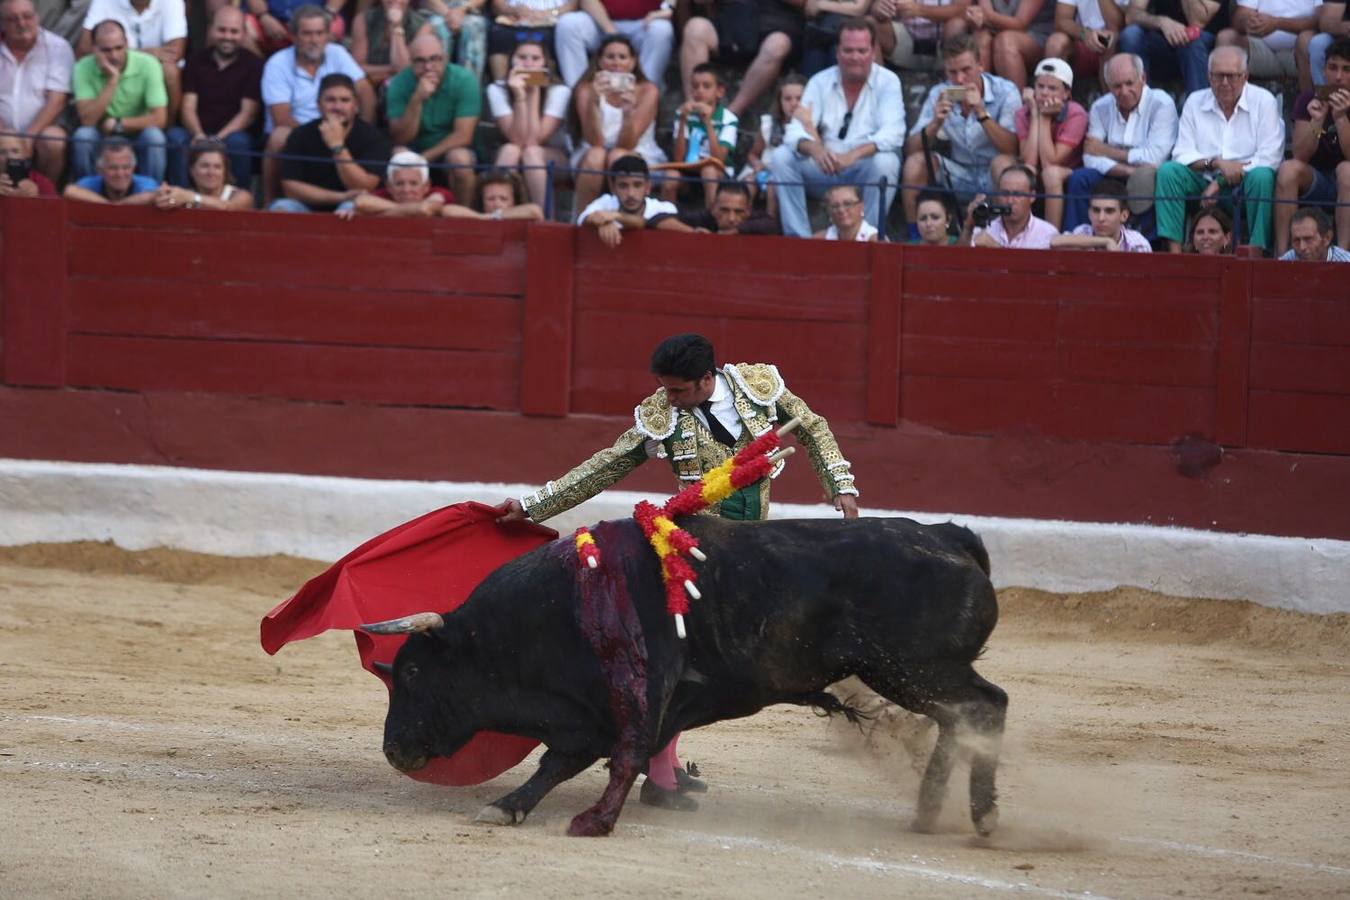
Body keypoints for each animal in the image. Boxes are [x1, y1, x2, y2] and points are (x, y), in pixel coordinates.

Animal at [364, 518, 1009, 841]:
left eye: (414, 669)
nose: (393, 750)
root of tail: (950, 535)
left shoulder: (639, 694)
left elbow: (621, 758)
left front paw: (594, 822)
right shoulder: (590, 714)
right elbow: (558, 764)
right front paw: (508, 807)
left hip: (913, 667)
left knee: (987, 705)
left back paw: (981, 818)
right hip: (911, 673)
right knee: (963, 718)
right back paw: (929, 812)